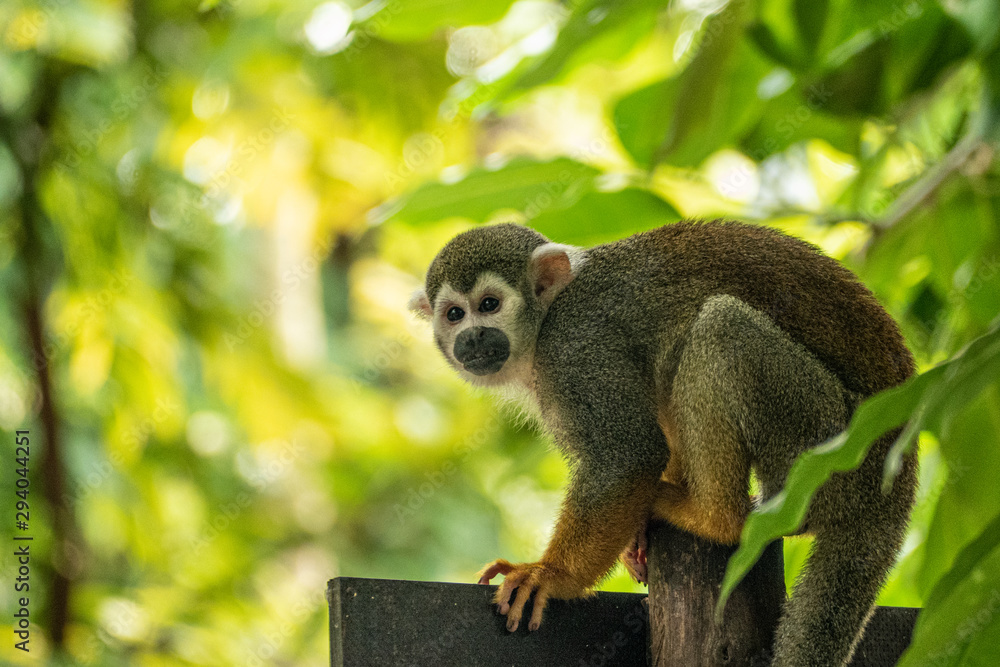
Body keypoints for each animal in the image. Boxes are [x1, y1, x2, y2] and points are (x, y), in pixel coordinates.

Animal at [408, 220, 917, 666]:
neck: (546, 320)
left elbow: (629, 455)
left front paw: (553, 576)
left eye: (490, 304)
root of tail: (895, 490)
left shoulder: (576, 346)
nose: (472, 338)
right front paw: (632, 540)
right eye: (454, 314)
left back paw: (712, 516)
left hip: (832, 443)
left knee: (720, 325)